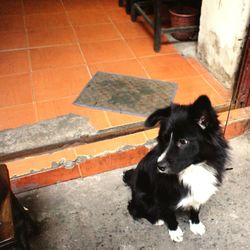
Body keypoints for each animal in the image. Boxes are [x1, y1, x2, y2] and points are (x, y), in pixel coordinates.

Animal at [123, 95, 229, 242]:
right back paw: (157, 220)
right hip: (143, 196)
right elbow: (170, 215)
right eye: (164, 139)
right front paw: (174, 231)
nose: (159, 166)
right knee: (133, 209)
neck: (194, 169)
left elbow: (195, 210)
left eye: (183, 141)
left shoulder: (198, 192)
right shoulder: (162, 197)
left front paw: (195, 225)